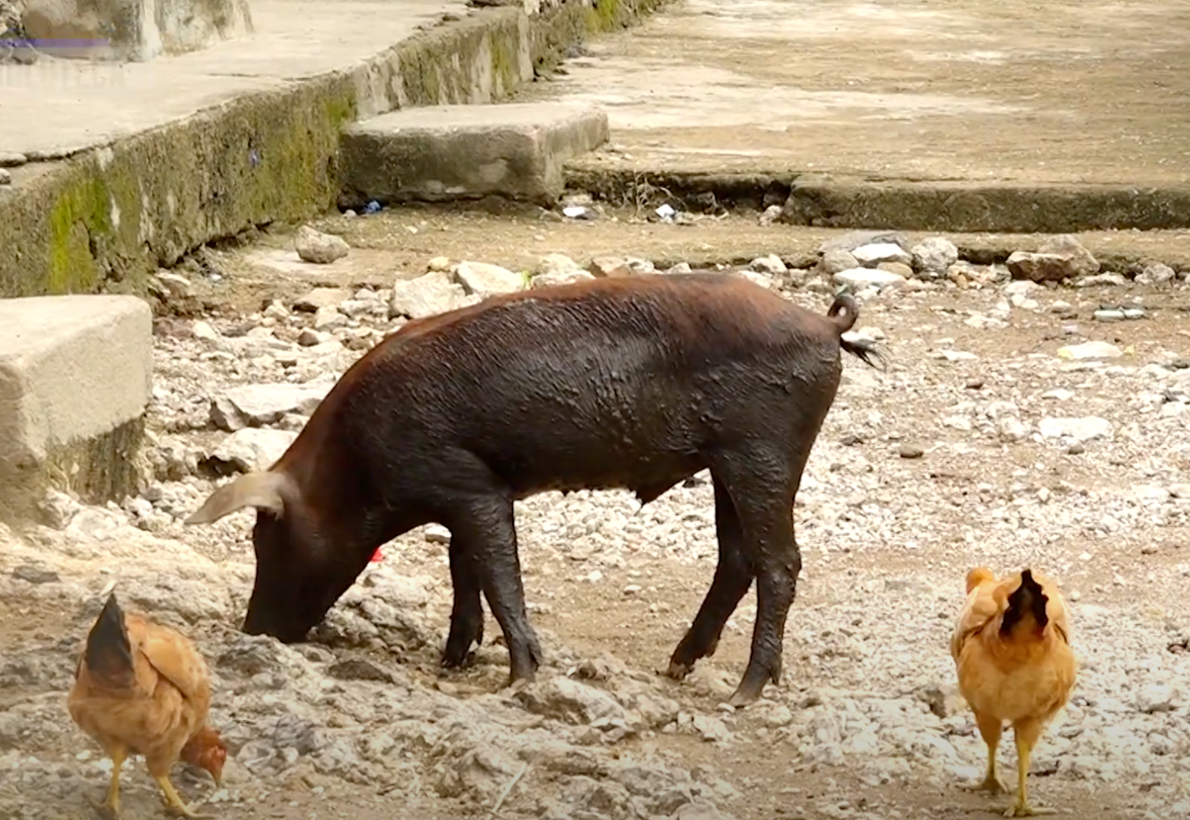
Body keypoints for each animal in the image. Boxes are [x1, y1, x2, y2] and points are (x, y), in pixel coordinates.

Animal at [185, 272, 882, 706]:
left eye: (264, 538)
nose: (253, 631)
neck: (351, 464)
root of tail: (824, 325)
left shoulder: (470, 485)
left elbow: (497, 572)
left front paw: (518, 680)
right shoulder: (471, 491)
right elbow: (462, 566)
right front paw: (452, 661)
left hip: (764, 449)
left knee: (780, 562)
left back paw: (744, 692)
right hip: (724, 461)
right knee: (736, 557)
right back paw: (677, 665)